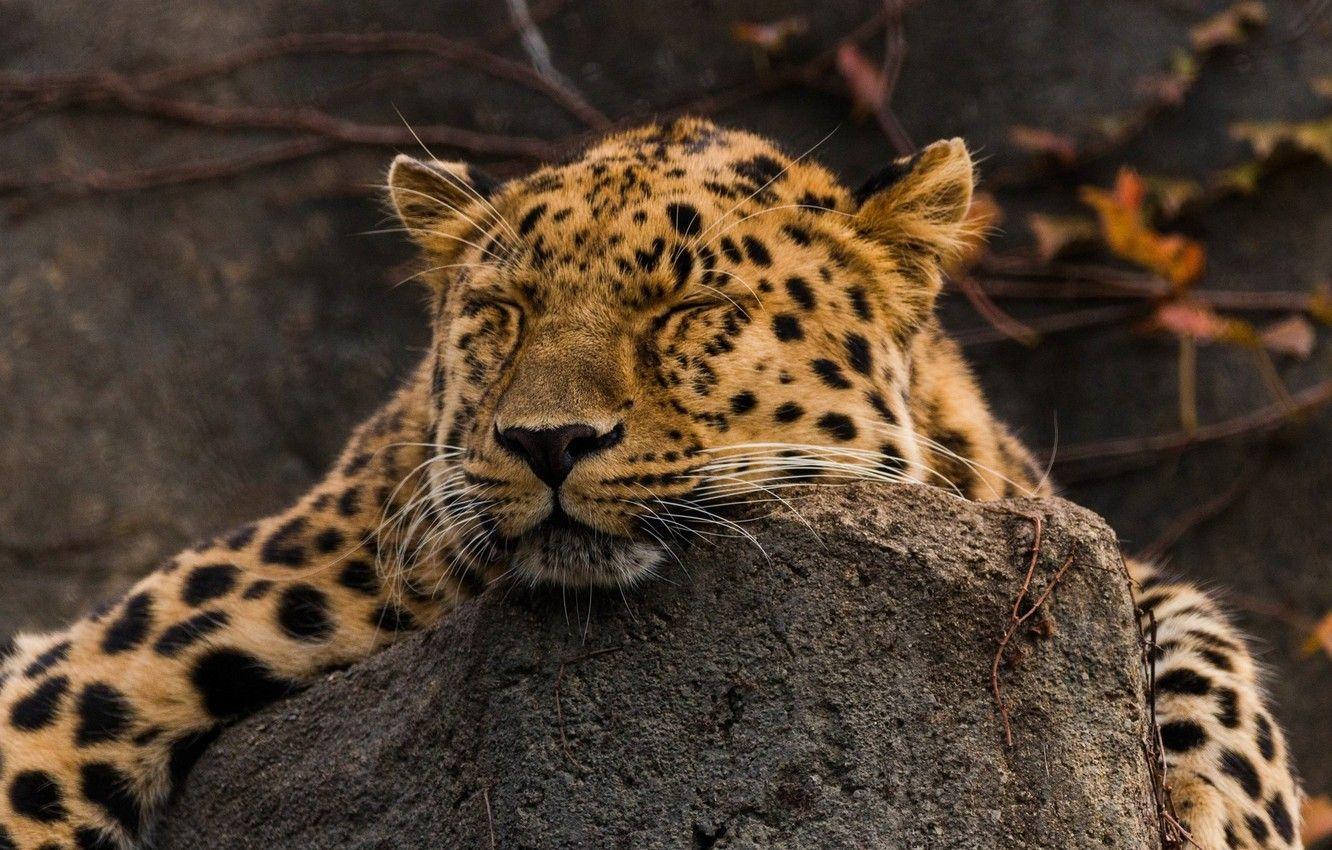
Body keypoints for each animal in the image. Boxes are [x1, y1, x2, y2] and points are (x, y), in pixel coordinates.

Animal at [0, 117, 1301, 849]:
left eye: (687, 309)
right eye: (503, 312)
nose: (548, 441)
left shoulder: (1069, 537)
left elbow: (1215, 661)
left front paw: (1222, 815)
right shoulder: (87, 675)